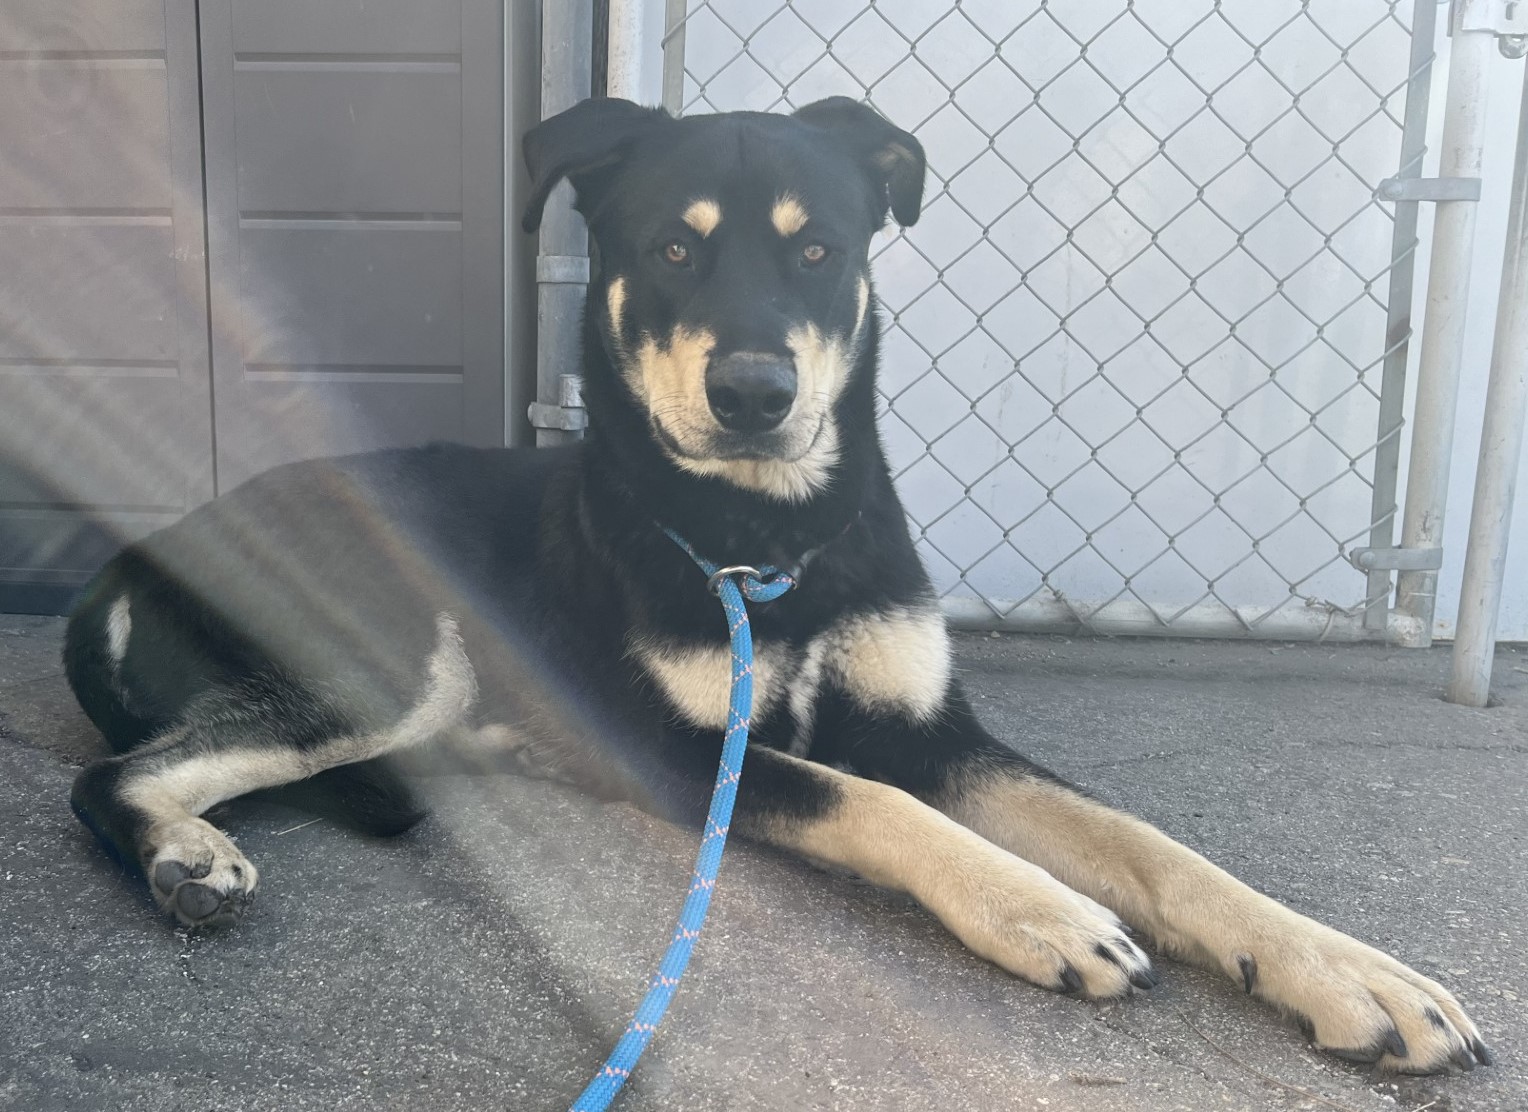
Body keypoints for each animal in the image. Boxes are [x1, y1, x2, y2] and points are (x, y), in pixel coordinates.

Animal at [65, 97, 1485, 1075]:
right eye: (669, 251)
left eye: (817, 253)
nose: (755, 394)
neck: (765, 538)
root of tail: (145, 541)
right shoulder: (676, 747)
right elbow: (878, 804)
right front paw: (1040, 906)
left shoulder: (935, 730)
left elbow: (1150, 845)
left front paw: (1346, 968)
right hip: (400, 653)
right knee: (108, 778)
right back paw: (186, 850)